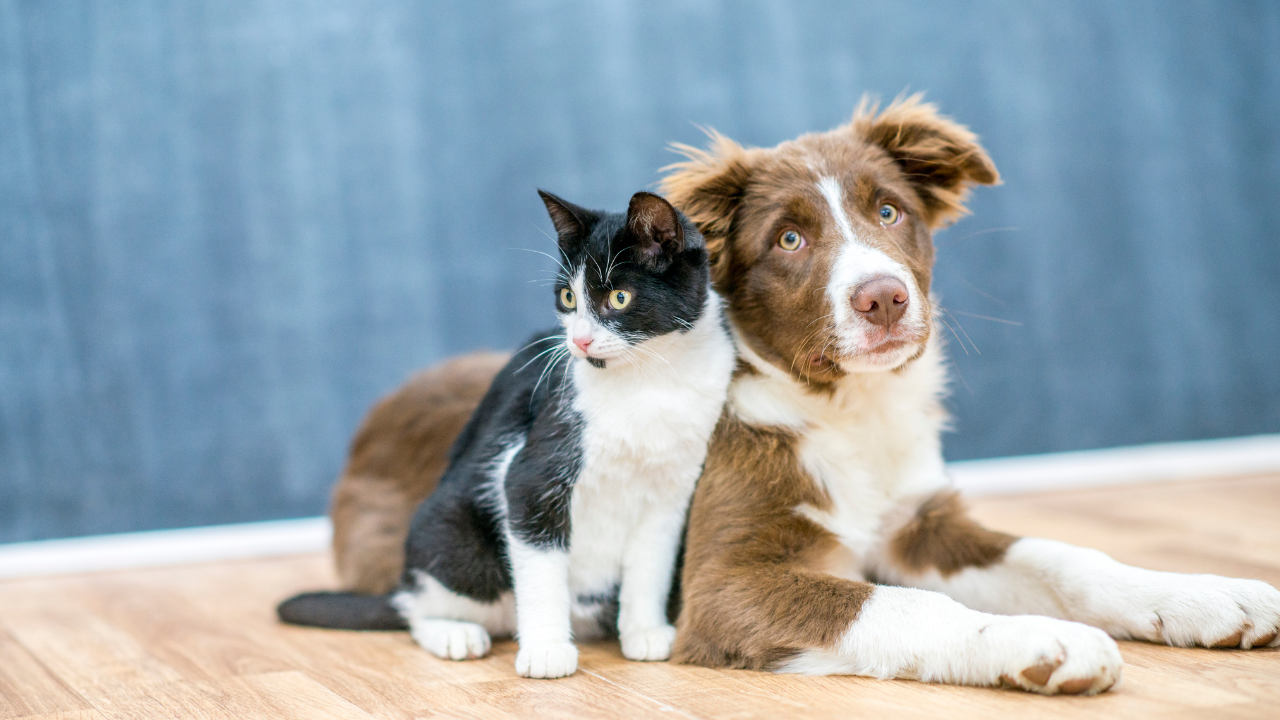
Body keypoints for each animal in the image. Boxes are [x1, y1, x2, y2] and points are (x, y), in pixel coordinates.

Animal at [280, 188, 742, 676]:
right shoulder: (530, 474)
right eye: (567, 297)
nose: (579, 341)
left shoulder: (672, 493)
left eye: (619, 297)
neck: (649, 381)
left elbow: (651, 565)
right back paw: (454, 633)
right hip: (455, 540)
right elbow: (540, 566)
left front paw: (645, 632)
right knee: (417, 605)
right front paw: (546, 650)